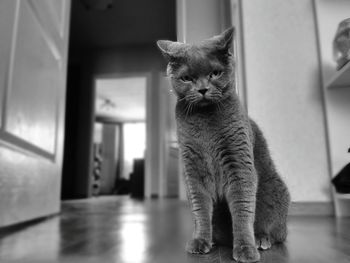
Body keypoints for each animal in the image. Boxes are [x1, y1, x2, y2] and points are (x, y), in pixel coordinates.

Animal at [157, 27, 292, 262]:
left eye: (215, 74)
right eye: (187, 78)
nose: (202, 89)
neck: (205, 121)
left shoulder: (239, 162)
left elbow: (242, 208)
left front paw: (246, 249)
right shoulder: (193, 169)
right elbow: (200, 208)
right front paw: (200, 241)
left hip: (274, 190)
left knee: (277, 232)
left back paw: (261, 239)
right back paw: (214, 239)